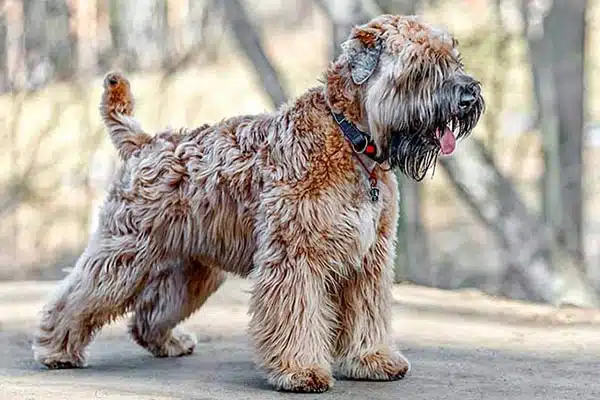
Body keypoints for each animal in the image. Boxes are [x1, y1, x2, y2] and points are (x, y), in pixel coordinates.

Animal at [31, 14, 482, 394]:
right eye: (421, 66)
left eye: (453, 58)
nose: (469, 95)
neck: (352, 141)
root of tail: (145, 143)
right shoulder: (296, 257)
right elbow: (296, 316)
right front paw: (300, 371)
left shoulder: (367, 260)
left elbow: (366, 314)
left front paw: (371, 359)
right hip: (124, 254)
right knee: (78, 296)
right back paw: (55, 349)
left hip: (192, 269)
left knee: (149, 313)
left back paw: (169, 342)